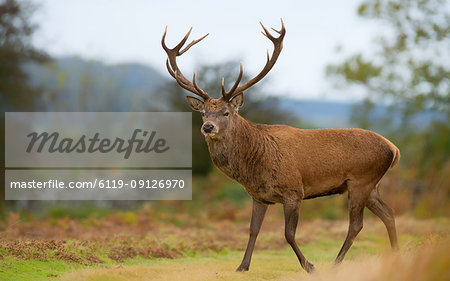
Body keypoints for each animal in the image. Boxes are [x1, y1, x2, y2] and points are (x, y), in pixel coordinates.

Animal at [160, 19, 400, 272]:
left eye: (226, 112)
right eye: (204, 113)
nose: (207, 127)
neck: (254, 165)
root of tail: (394, 149)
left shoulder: (294, 190)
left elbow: (288, 234)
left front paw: (309, 265)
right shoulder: (258, 196)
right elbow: (253, 230)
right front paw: (242, 266)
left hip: (361, 181)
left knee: (356, 224)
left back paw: (336, 263)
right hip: (371, 186)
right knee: (388, 213)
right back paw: (396, 255)